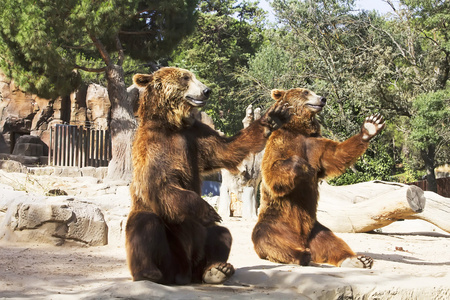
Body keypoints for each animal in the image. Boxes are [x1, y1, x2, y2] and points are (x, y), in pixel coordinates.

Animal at [125, 67, 292, 284]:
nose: (206, 91)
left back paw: (217, 269)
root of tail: (184, 273)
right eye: (185, 77)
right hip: (169, 245)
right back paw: (148, 272)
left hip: (200, 240)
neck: (172, 124)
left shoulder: (195, 136)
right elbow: (160, 185)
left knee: (220, 234)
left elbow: (227, 149)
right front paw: (208, 210)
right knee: (145, 223)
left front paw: (274, 116)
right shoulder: (153, 148)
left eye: (192, 75)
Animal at [251, 88, 384, 268]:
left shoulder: (317, 145)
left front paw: (370, 126)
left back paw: (357, 260)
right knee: (269, 239)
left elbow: (337, 154)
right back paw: (301, 255)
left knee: (332, 242)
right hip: (276, 222)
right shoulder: (280, 142)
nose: (322, 98)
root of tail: (301, 240)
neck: (299, 130)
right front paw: (304, 166)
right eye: (306, 92)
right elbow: (273, 171)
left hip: (315, 229)